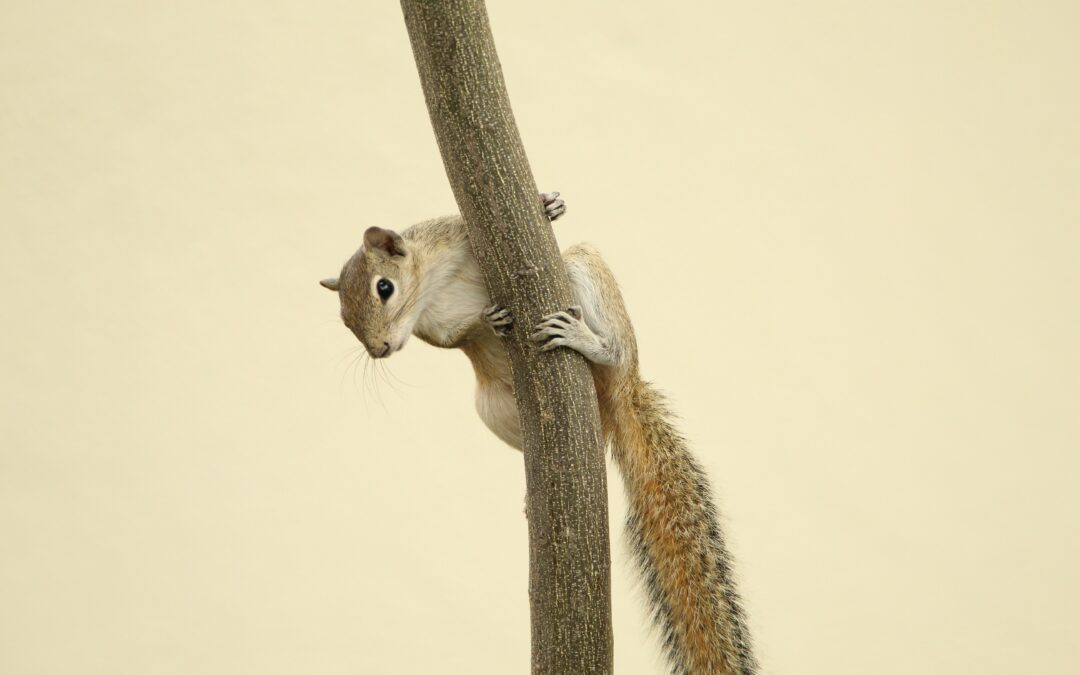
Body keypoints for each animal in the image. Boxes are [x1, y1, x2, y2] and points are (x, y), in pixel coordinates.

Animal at [320, 192, 758, 675]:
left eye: (384, 288)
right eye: (344, 318)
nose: (379, 349)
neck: (431, 284)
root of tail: (617, 399)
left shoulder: (455, 233)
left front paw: (550, 205)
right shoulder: (437, 332)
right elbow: (459, 333)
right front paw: (488, 320)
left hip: (585, 273)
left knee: (613, 346)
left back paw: (591, 342)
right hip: (492, 407)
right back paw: (533, 492)